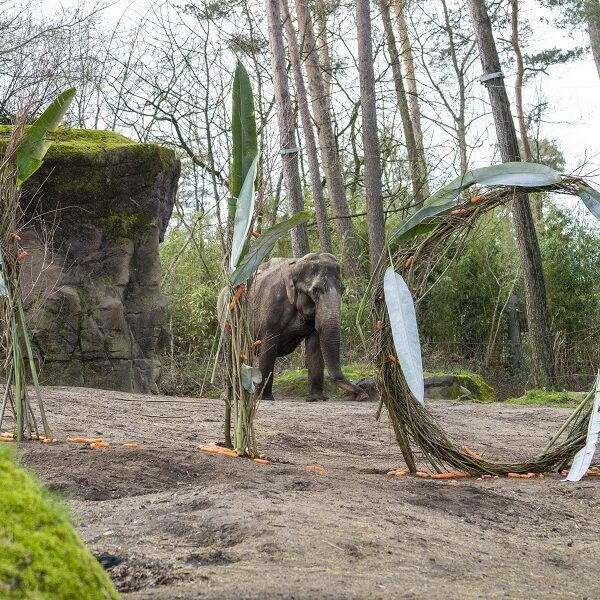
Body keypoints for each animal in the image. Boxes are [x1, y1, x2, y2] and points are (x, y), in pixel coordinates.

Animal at [218, 251, 368, 400]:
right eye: (315, 290)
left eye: (343, 289)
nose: (362, 395)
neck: (295, 264)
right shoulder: (271, 308)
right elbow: (269, 347)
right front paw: (264, 398)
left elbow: (315, 346)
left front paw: (316, 398)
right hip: (227, 320)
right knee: (232, 354)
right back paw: (232, 396)